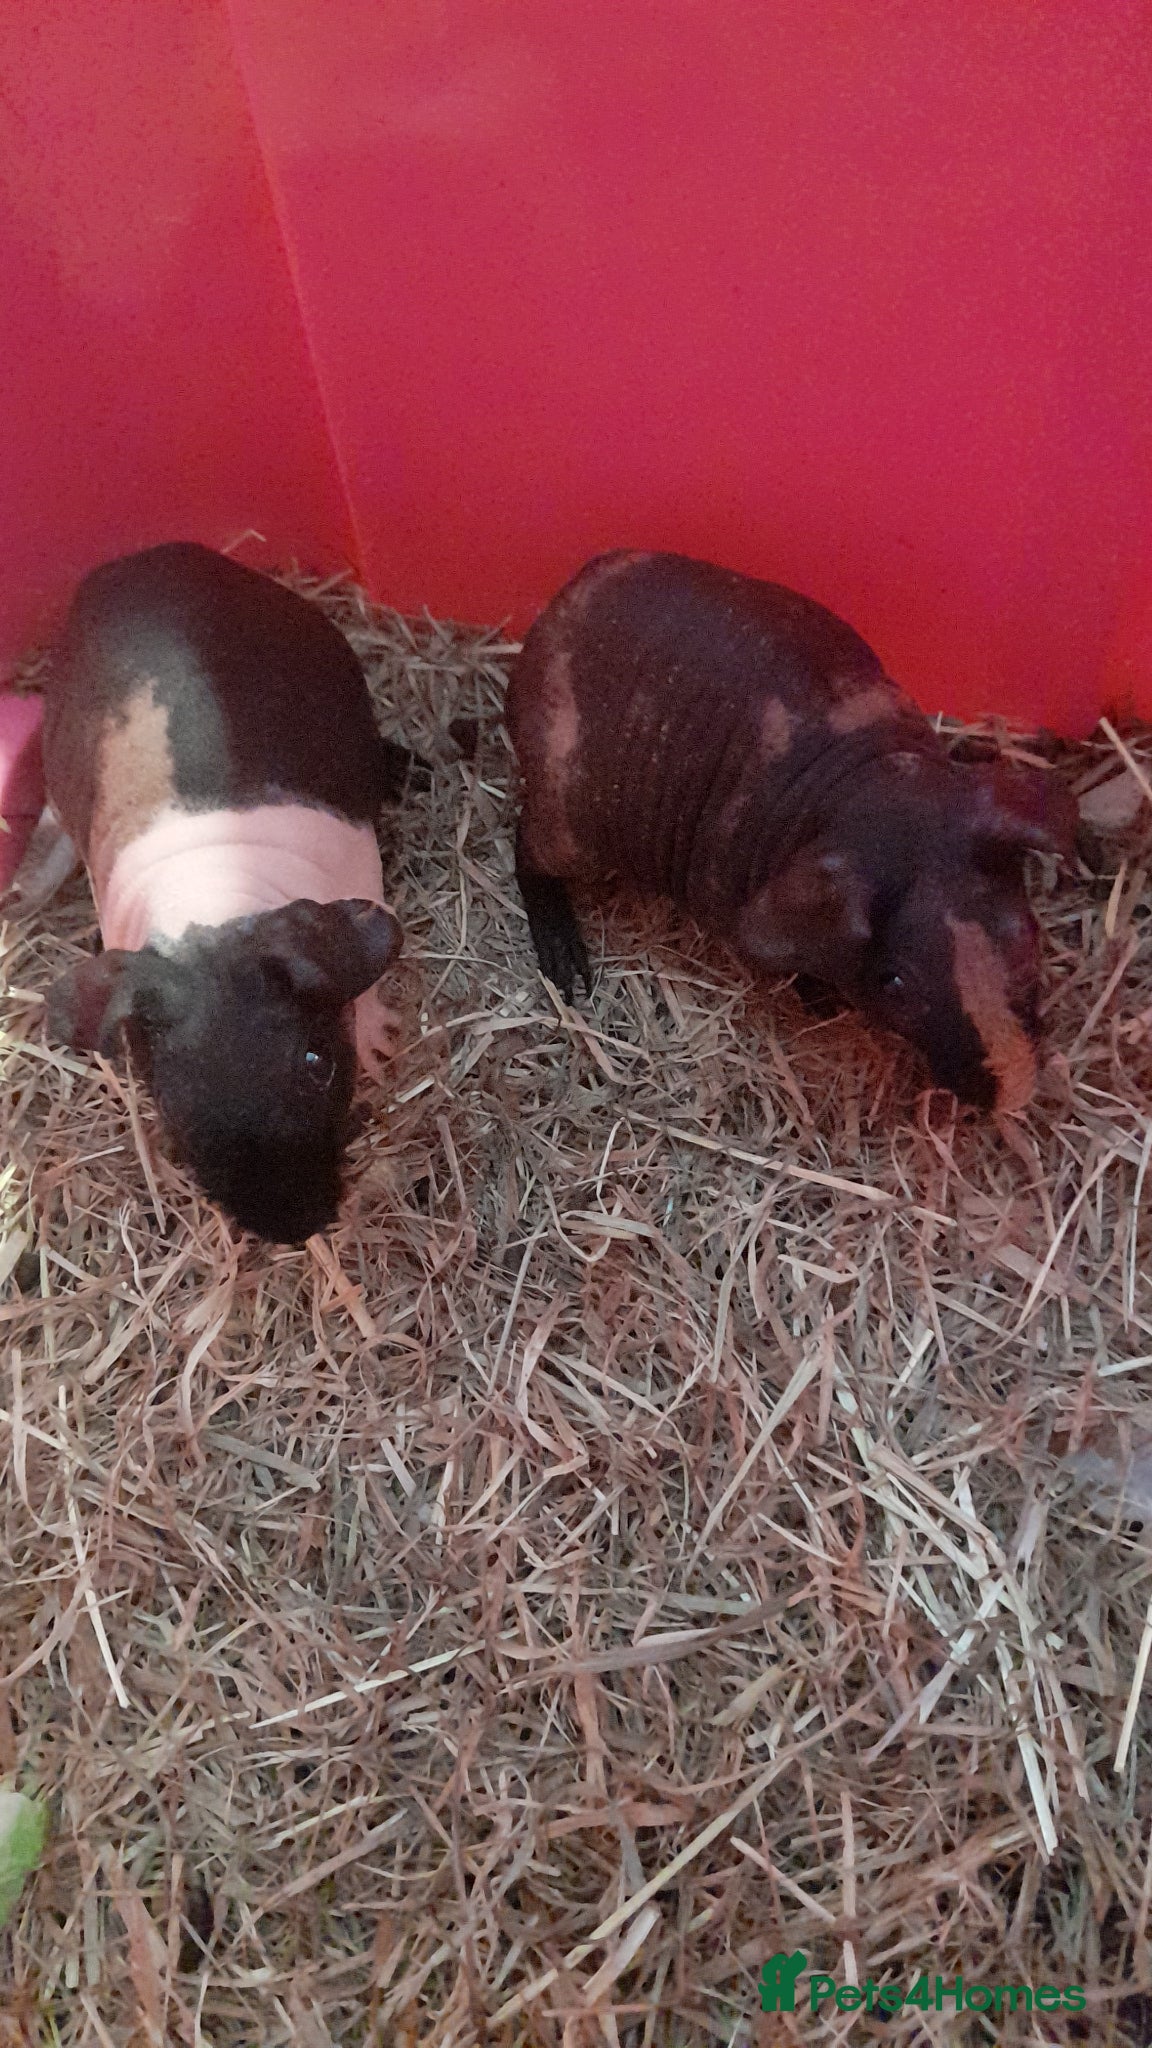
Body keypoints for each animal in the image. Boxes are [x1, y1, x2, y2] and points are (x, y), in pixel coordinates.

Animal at [40, 542, 421, 1243]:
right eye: (169, 1099)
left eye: (316, 1063)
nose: (296, 1228)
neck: (213, 905)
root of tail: (143, 558)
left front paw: (381, 1046)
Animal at [505, 551, 1077, 1112]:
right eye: (895, 983)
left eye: (1028, 933)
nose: (1014, 1093)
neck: (873, 791)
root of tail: (552, 615)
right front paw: (820, 999)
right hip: (566, 831)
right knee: (524, 848)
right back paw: (563, 961)